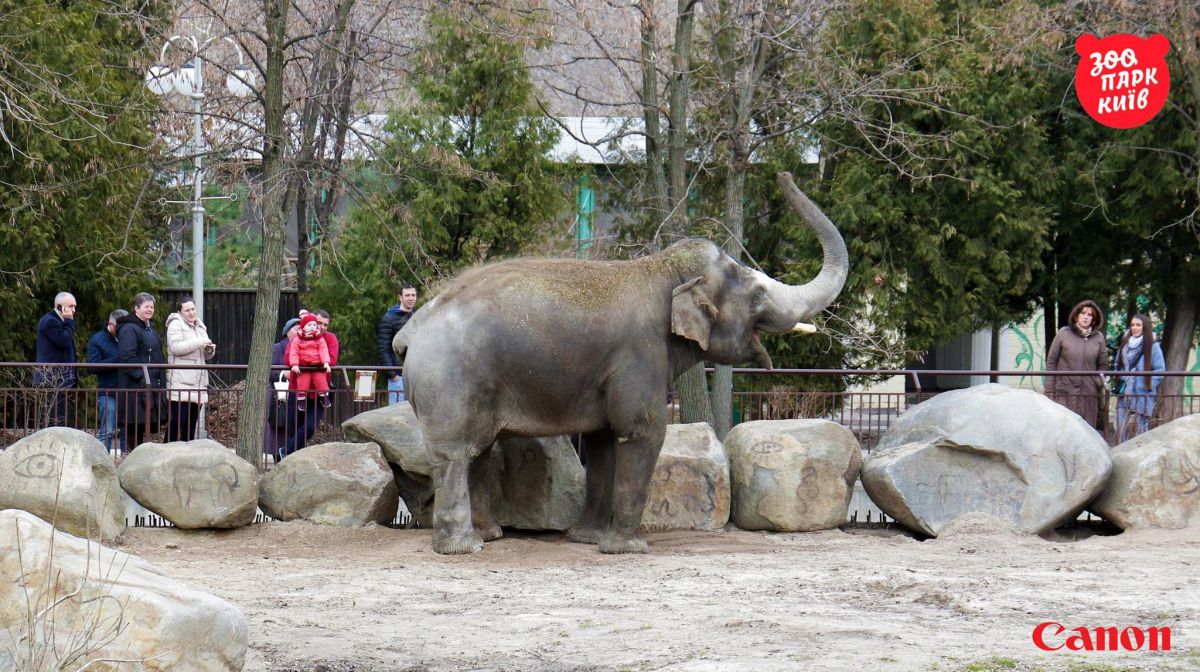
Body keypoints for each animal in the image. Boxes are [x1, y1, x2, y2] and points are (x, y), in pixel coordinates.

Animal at [395, 172, 849, 554]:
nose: (782, 175)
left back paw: (488, 536)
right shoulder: (640, 353)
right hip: (450, 381)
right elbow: (642, 429)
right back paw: (462, 548)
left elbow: (603, 441)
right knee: (456, 453)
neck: (661, 269)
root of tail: (412, 330)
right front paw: (627, 549)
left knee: (481, 451)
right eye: (756, 295)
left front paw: (588, 539)